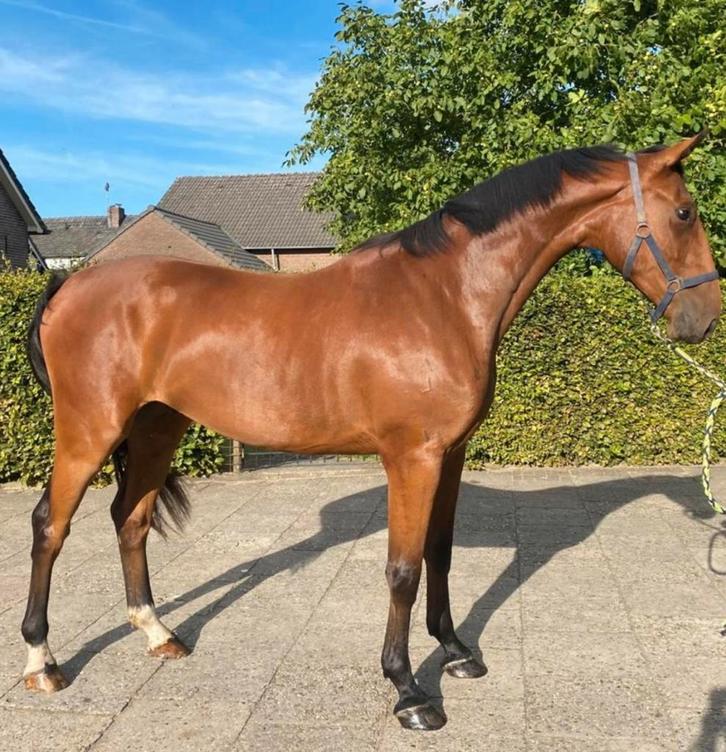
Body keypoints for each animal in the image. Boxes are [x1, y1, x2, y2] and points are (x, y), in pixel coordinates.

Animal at [21, 133, 720, 731]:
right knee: (50, 526)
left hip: (157, 429)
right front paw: (409, 691)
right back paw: (42, 663)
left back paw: (158, 634)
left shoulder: (450, 455)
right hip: (89, 432)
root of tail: (67, 284)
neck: (443, 296)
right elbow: (402, 569)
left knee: (130, 520)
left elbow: (439, 553)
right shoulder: (412, 458)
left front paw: (456, 651)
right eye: (685, 212)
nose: (705, 318)